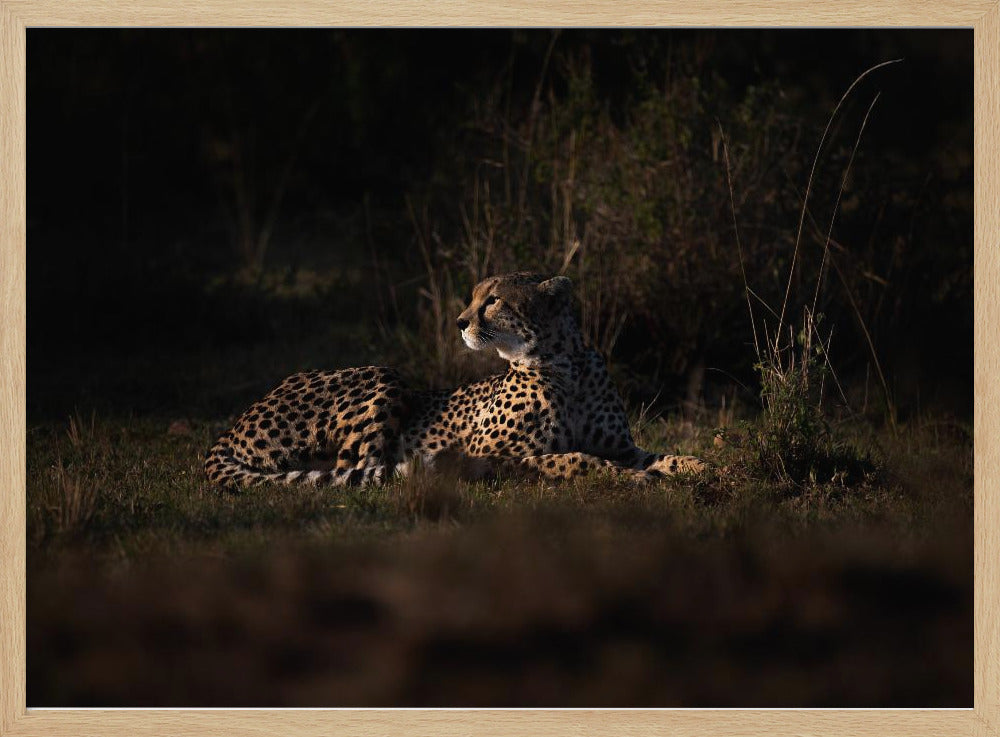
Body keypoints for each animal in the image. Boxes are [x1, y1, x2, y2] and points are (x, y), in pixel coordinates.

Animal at [204, 272, 706, 488]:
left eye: (494, 300)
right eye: (474, 296)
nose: (460, 322)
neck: (566, 366)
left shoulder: (621, 444)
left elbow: (660, 454)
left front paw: (701, 467)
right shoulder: (493, 453)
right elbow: (575, 458)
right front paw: (631, 479)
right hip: (384, 373)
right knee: (356, 468)